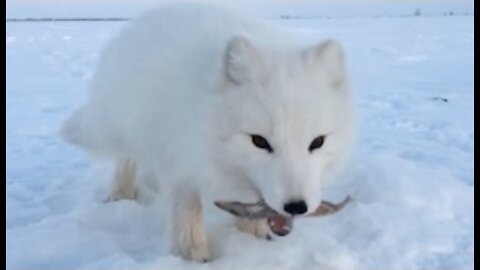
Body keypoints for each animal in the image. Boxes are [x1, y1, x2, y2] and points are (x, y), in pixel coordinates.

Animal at [61, 3, 352, 262]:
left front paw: (252, 237)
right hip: (125, 125)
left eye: (317, 142)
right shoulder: (179, 156)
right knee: (126, 156)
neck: (204, 122)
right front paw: (192, 255)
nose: (296, 207)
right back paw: (121, 192)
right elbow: (186, 209)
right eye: (259, 141)